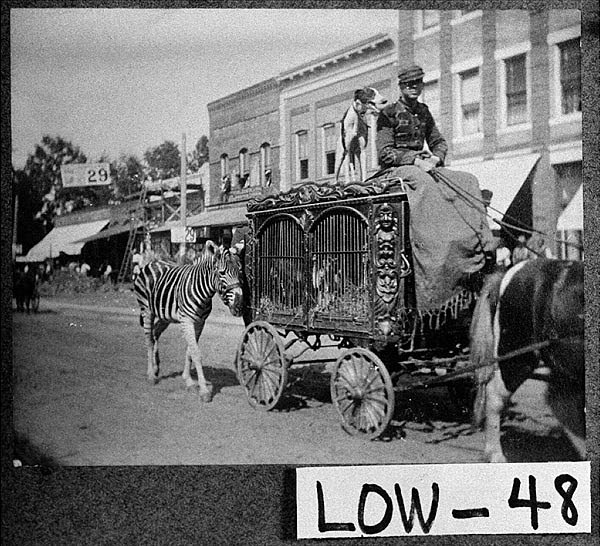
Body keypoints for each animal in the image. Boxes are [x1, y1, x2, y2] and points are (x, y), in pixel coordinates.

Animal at [132, 241, 243, 400]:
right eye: (222, 273)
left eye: (239, 272)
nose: (239, 305)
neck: (203, 291)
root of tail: (153, 262)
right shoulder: (187, 320)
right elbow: (196, 353)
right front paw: (204, 391)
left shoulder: (200, 322)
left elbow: (190, 350)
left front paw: (188, 380)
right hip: (146, 310)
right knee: (149, 340)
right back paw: (151, 375)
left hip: (165, 315)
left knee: (155, 333)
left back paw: (156, 368)